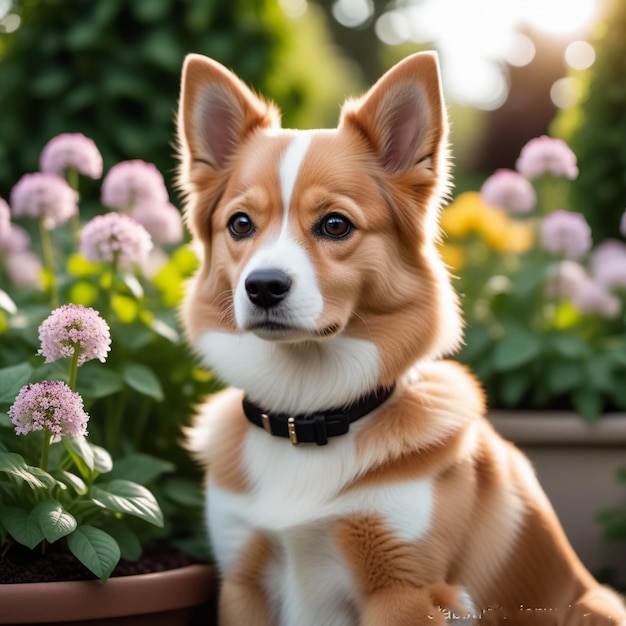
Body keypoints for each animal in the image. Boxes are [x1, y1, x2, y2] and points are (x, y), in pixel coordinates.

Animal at [177, 51, 624, 620]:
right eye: (239, 224)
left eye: (335, 225)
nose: (263, 287)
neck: (308, 414)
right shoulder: (242, 579)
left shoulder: (405, 590)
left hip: (597, 605)